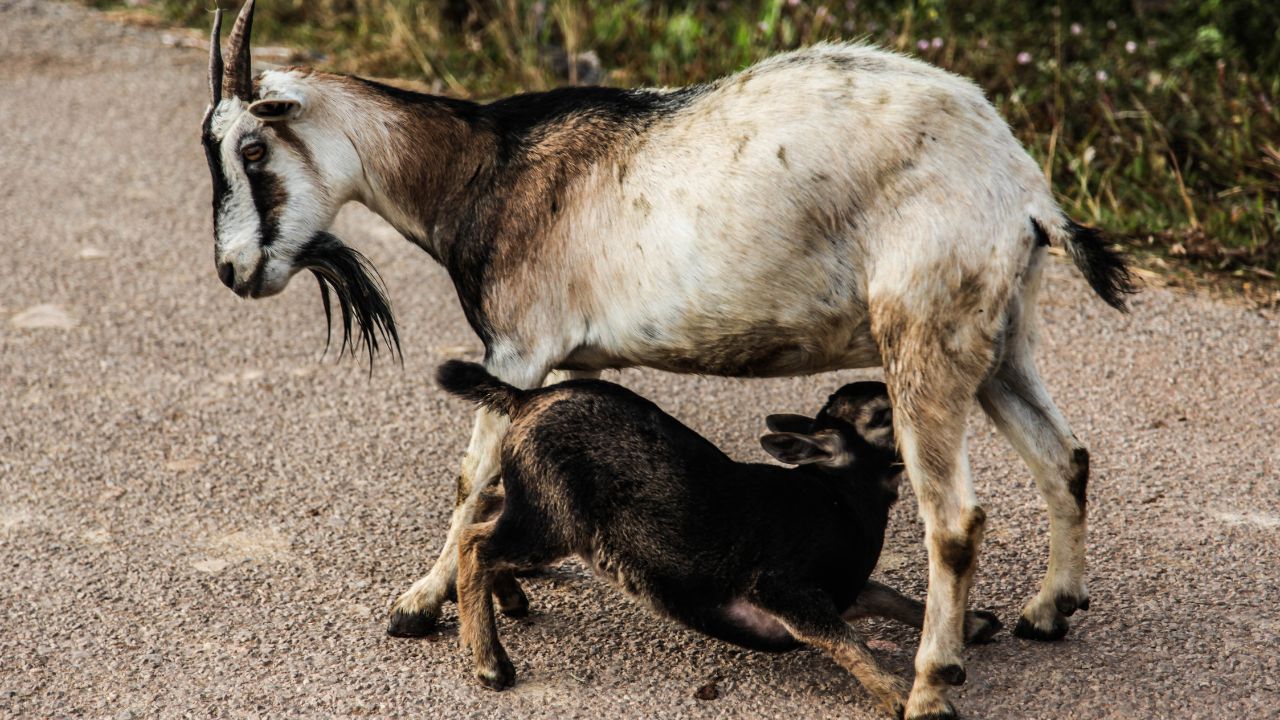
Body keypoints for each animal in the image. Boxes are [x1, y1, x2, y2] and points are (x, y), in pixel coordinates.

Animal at [199, 4, 1131, 712]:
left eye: (252, 149)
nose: (235, 272)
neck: (483, 169)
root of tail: (1022, 189)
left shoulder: (519, 346)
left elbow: (470, 477)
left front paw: (418, 607)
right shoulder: (575, 364)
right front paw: (510, 590)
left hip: (923, 337)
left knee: (955, 520)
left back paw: (934, 682)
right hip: (1002, 340)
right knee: (1065, 457)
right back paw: (1048, 611)